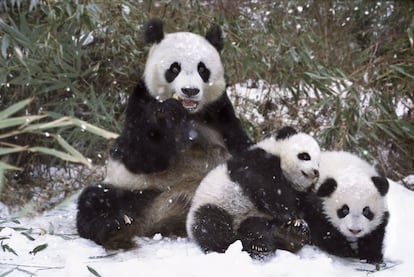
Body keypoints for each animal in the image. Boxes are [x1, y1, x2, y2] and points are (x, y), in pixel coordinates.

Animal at [76, 18, 254, 249]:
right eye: (174, 68)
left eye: (202, 69)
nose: (190, 90)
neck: (190, 112)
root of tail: (159, 220)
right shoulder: (142, 101)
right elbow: (140, 156)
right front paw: (167, 114)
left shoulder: (221, 112)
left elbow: (242, 147)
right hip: (136, 190)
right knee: (96, 199)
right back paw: (116, 230)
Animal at [187, 126, 320, 258]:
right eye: (305, 156)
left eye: (318, 163)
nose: (316, 172)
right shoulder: (256, 162)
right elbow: (268, 189)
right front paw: (291, 214)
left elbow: (304, 202)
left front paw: (299, 221)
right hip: (216, 204)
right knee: (212, 225)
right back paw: (252, 245)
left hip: (253, 216)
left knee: (256, 227)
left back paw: (287, 236)